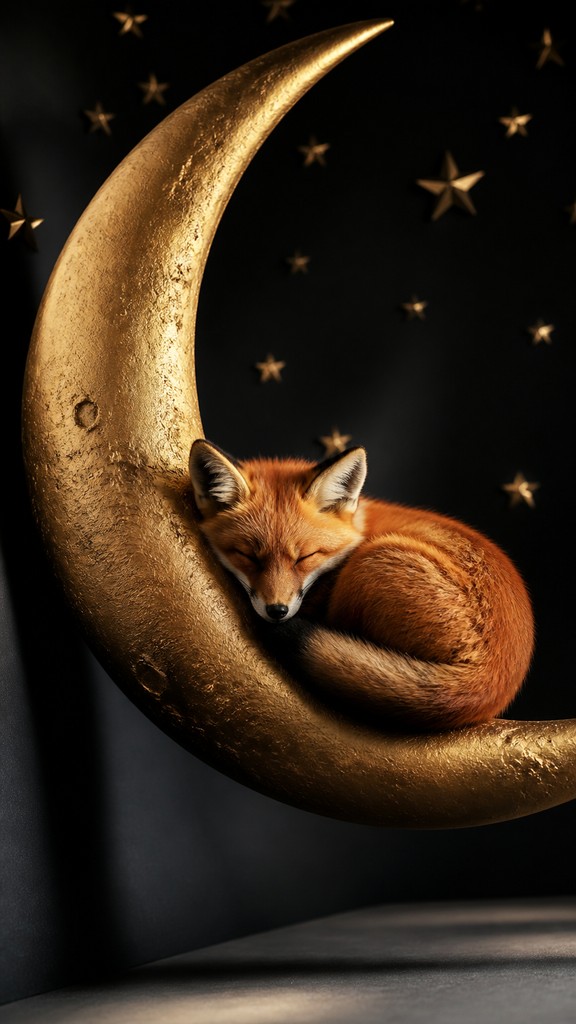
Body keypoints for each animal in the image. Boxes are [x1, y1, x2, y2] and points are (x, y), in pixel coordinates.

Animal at [189, 438, 534, 730]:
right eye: (248, 556)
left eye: (305, 557)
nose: (277, 611)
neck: (358, 528)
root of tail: (493, 674)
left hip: (371, 561)